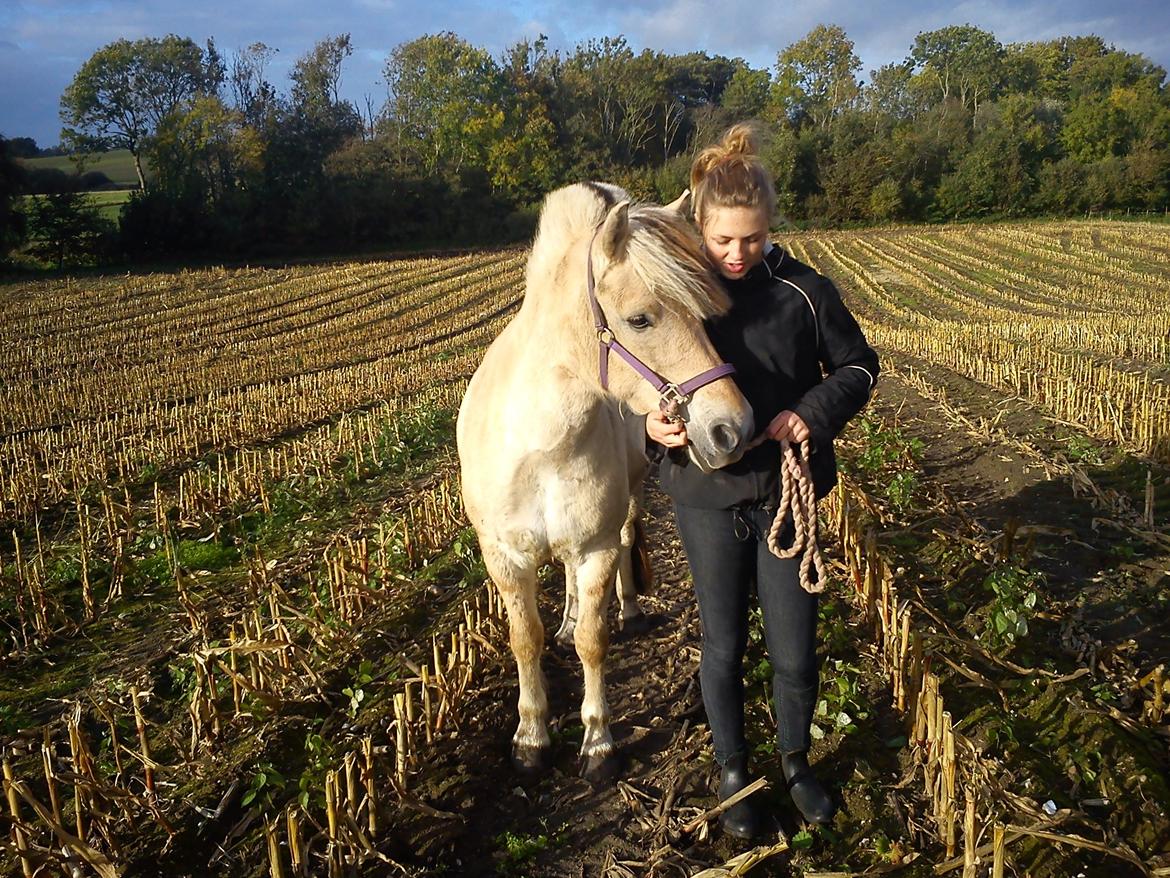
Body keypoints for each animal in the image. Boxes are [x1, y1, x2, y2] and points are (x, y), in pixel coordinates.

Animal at [451, 180, 753, 782]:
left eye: (704, 318)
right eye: (640, 320)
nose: (732, 428)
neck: (539, 444)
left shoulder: (596, 548)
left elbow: (595, 641)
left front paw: (597, 742)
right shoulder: (504, 556)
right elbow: (525, 640)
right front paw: (531, 738)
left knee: (624, 542)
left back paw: (628, 611)